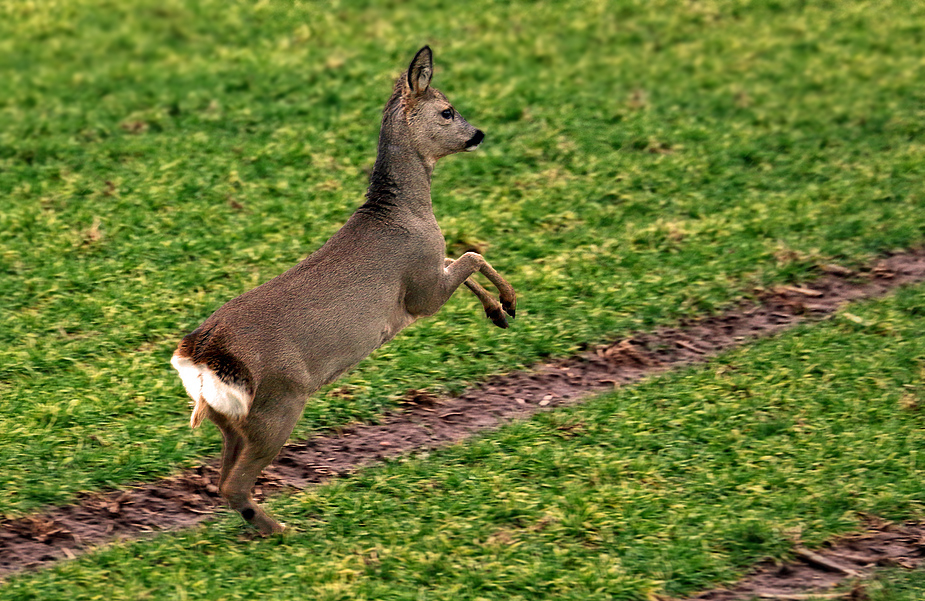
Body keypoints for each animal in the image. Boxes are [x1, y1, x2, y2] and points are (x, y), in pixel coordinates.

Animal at [171, 48, 516, 536]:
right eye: (447, 110)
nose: (478, 134)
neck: (403, 212)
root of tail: (198, 357)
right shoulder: (418, 292)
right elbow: (470, 255)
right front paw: (509, 302)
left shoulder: (429, 275)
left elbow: (460, 260)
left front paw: (497, 312)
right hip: (278, 404)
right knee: (233, 483)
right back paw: (281, 530)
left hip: (231, 420)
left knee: (222, 480)